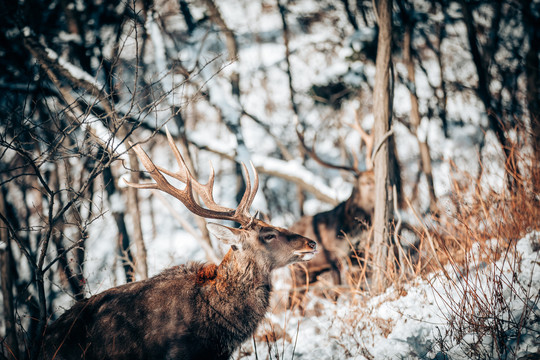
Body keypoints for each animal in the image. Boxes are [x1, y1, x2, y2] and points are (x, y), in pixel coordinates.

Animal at [292, 119, 376, 306]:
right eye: (366, 182)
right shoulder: (336, 256)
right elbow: (343, 289)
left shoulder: (358, 254)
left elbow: (358, 285)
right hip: (298, 270)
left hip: (312, 273)